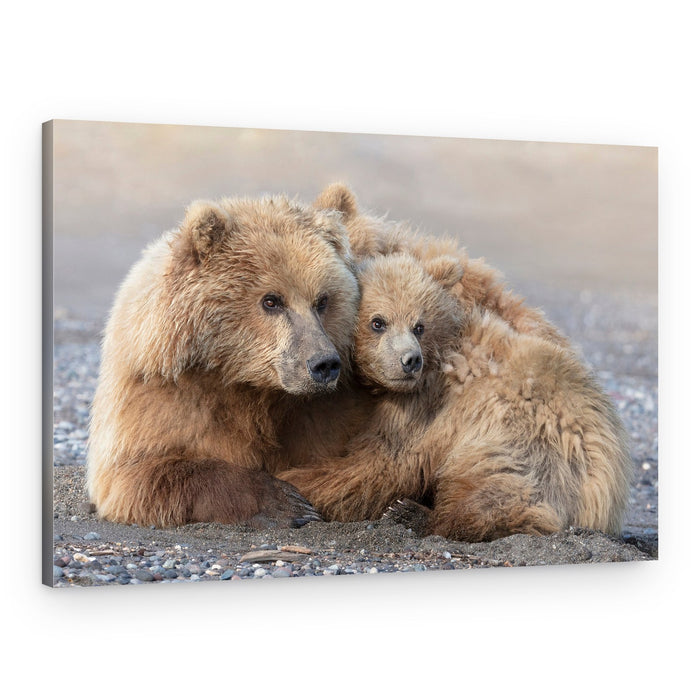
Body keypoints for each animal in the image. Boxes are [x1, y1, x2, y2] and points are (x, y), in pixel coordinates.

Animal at [86, 192, 360, 528]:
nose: (324, 364)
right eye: (271, 300)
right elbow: (139, 473)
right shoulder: (158, 398)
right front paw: (286, 502)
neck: (241, 382)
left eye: (322, 300)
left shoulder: (320, 414)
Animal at [278, 252, 632, 542]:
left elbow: (378, 464)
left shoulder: (425, 409)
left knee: (497, 491)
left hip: (522, 441)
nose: (410, 360)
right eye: (378, 322)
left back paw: (414, 514)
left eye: (418, 325)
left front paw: (292, 483)